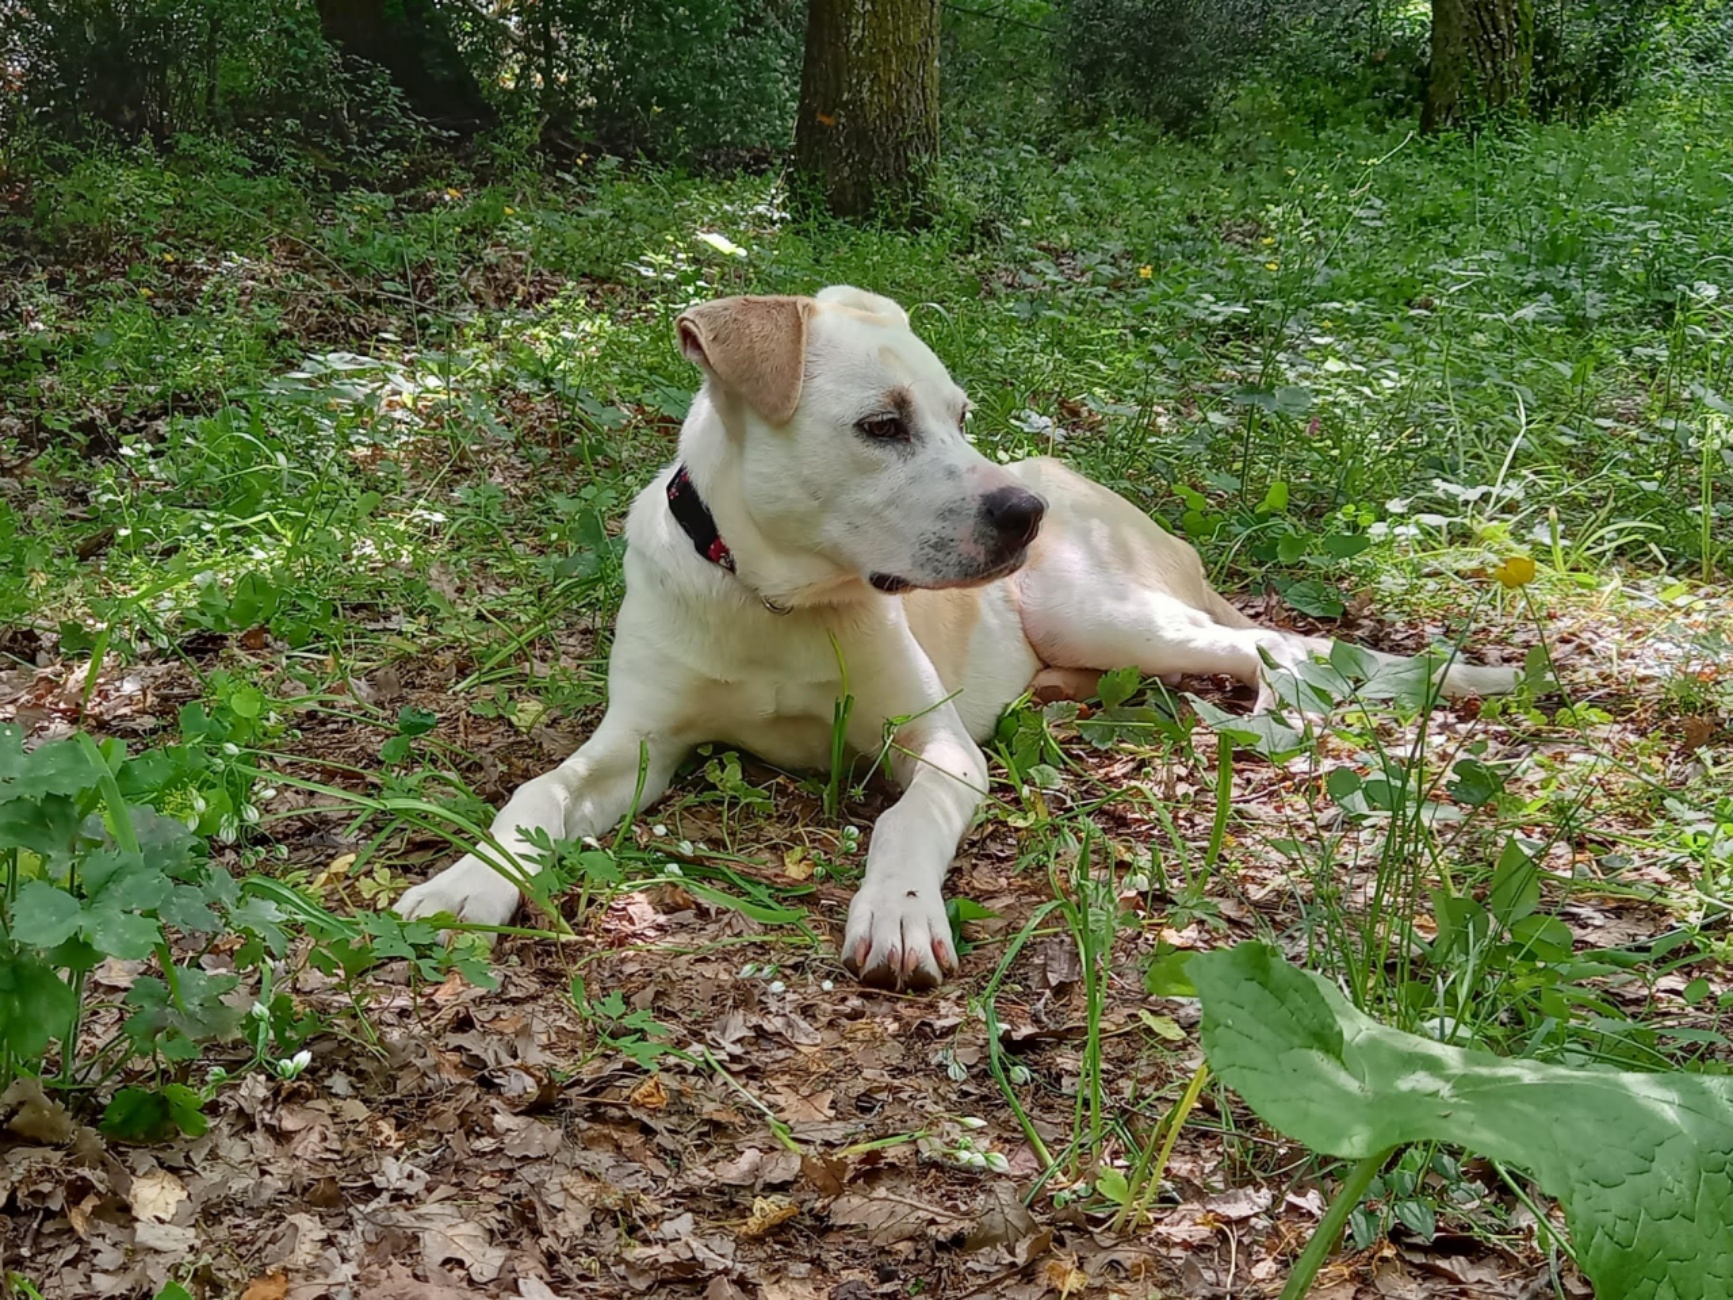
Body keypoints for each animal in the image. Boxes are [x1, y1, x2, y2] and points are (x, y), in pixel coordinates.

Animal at [396, 287, 1518, 984]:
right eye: (881, 425)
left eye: (960, 415)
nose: (1021, 513)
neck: (776, 600)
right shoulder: (635, 744)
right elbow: (535, 791)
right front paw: (465, 881)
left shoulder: (936, 746)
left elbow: (906, 822)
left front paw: (896, 912)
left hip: (1106, 610)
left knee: (1276, 652)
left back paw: (1268, 725)